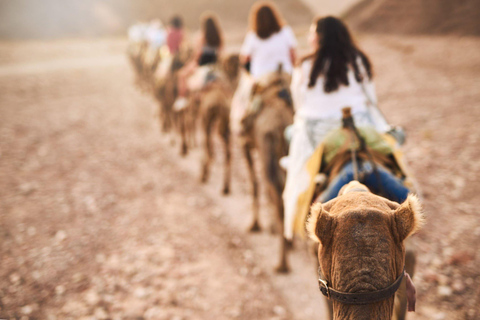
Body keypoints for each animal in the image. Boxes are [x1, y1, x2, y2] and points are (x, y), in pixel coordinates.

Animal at [242, 69, 294, 272]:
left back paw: (282, 264)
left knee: (277, 199)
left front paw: (254, 225)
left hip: (266, 155)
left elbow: (254, 185)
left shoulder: (246, 145)